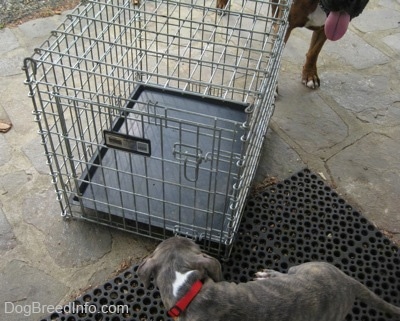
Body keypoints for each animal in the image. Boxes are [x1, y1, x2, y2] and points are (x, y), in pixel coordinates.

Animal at [217, 0, 370, 88]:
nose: (346, 2)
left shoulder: (325, 29)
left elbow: (314, 52)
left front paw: (310, 74)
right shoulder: (287, 26)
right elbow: (277, 58)